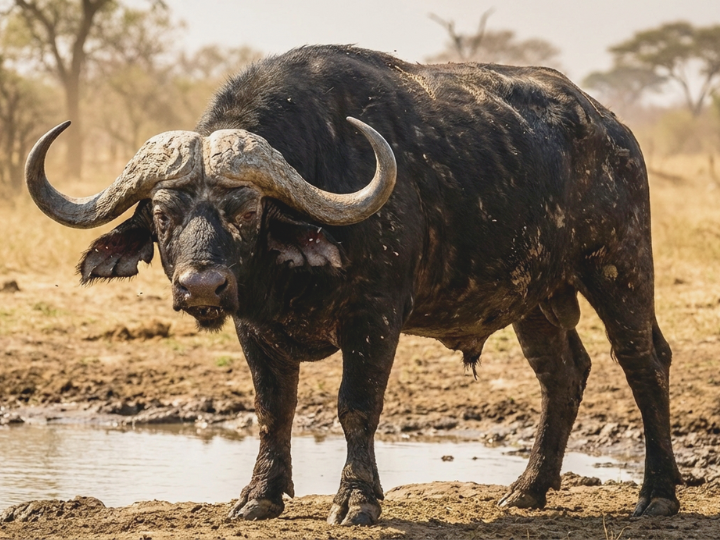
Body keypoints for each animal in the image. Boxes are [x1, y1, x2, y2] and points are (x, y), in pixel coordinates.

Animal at [25, 45, 681, 525]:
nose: (203, 286)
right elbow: (272, 409)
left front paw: (358, 499)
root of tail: (613, 130)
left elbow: (356, 406)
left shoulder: (375, 317)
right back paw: (527, 490)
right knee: (563, 373)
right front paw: (259, 496)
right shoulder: (253, 328)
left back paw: (658, 493)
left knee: (644, 360)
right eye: (163, 214)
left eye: (247, 209)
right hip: (536, 297)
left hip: (619, 266)